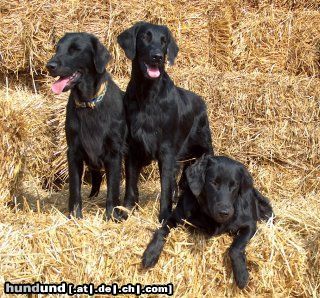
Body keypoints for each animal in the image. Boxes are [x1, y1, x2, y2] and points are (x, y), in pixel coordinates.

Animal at [47, 32, 127, 220]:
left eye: (75, 50)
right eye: (57, 49)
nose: (49, 66)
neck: (88, 104)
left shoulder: (114, 153)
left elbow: (113, 189)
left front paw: (112, 215)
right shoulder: (74, 151)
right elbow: (74, 189)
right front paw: (75, 215)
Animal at [117, 22, 212, 222]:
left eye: (164, 41)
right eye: (145, 37)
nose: (158, 57)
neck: (147, 94)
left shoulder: (167, 151)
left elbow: (165, 187)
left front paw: (165, 216)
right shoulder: (132, 148)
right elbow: (130, 186)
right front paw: (126, 211)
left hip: (204, 147)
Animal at [144, 155, 274, 290]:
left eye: (234, 185)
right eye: (214, 183)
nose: (224, 212)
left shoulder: (250, 225)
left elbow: (235, 248)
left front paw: (241, 274)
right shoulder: (174, 217)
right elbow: (162, 230)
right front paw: (151, 253)